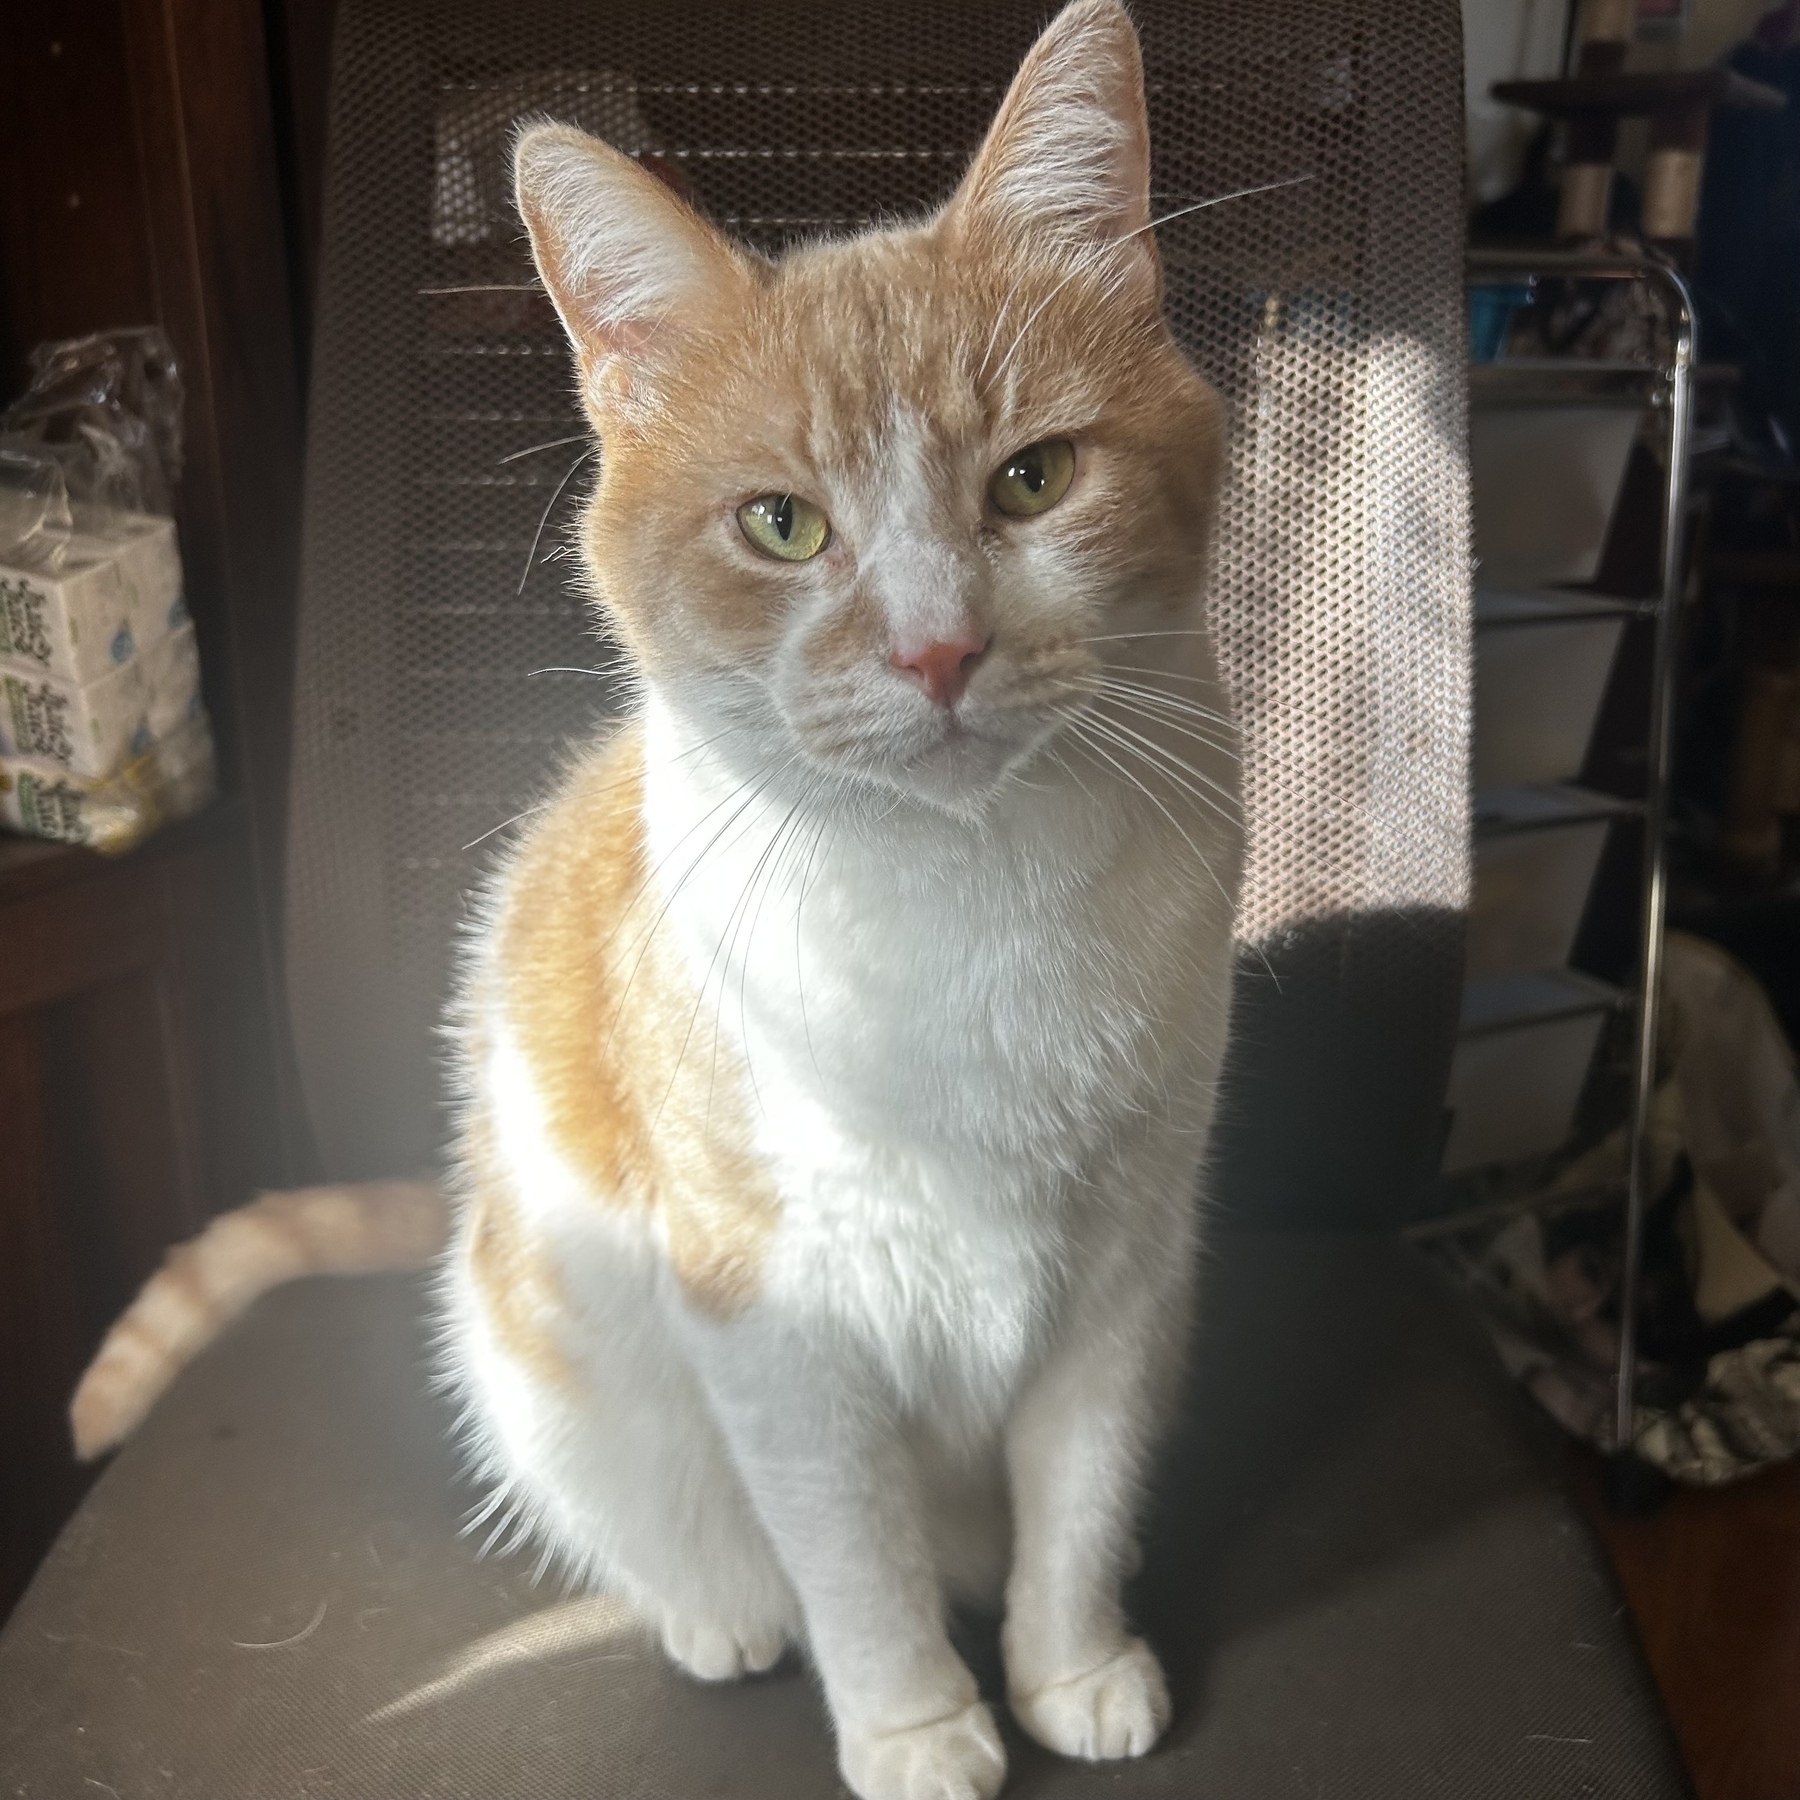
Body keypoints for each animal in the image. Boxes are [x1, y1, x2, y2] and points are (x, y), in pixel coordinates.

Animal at [77, 7, 1245, 1792]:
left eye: (1036, 481)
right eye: (782, 524)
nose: (938, 650)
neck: (960, 900)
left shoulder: (1126, 1273)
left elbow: (1086, 1498)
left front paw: (1072, 1668)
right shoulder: (773, 1318)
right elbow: (853, 1553)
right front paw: (918, 1725)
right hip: (543, 1356)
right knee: (660, 1529)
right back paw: (716, 1615)